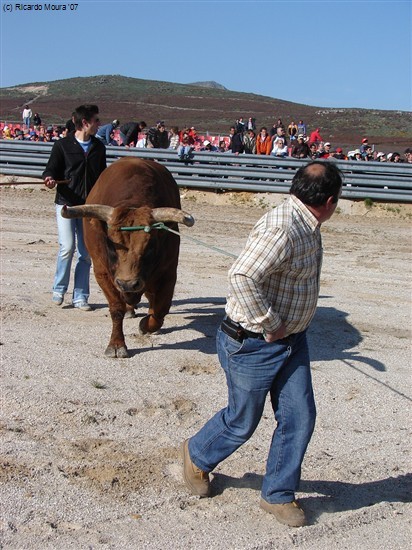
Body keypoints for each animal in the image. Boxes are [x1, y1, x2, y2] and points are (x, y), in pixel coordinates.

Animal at [61, 157, 195, 360]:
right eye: (111, 245)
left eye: (150, 246)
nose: (128, 283)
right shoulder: (102, 273)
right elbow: (117, 308)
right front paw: (116, 344)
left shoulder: (168, 273)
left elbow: (160, 309)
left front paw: (146, 325)